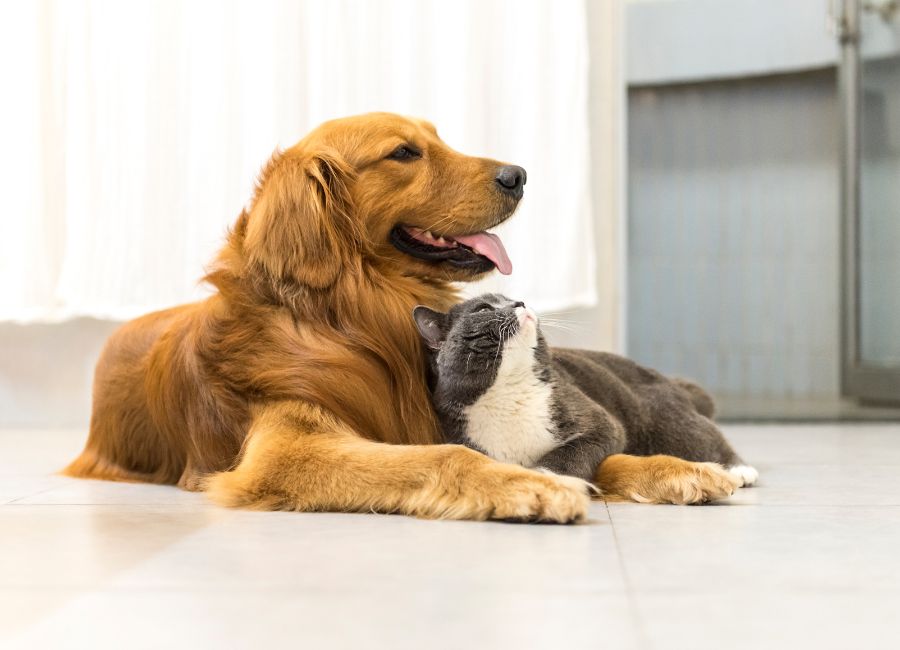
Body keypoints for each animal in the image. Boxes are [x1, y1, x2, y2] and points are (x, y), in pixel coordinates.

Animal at [416, 294, 760, 486]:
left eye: (511, 297)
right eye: (484, 307)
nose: (520, 303)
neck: (507, 392)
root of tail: (667, 379)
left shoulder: (596, 420)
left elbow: (575, 447)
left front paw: (547, 475)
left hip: (666, 420)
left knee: (704, 436)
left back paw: (740, 470)